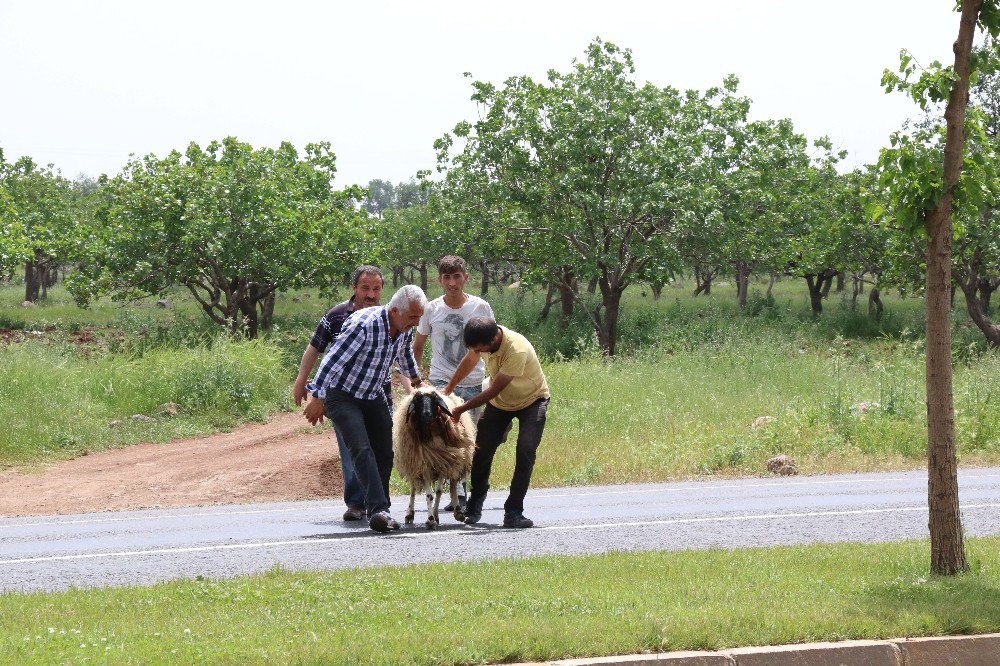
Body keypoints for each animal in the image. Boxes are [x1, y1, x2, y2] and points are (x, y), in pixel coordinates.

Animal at [394, 386, 476, 528]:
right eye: (417, 400)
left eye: (434, 399)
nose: (427, 414)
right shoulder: (423, 466)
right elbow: (429, 495)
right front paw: (430, 519)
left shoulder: (443, 463)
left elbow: (438, 492)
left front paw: (436, 516)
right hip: (412, 463)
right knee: (413, 488)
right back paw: (409, 514)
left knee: (453, 485)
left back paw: (458, 511)